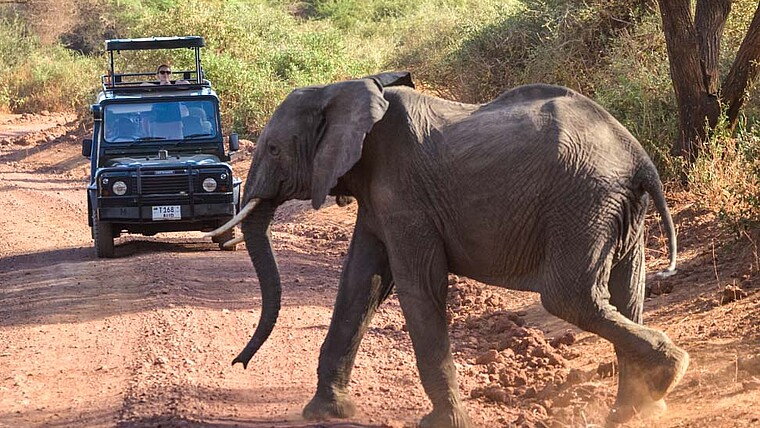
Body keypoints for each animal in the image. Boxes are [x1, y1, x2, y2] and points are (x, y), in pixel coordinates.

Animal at [209, 72, 688, 426]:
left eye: (274, 149)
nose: (237, 365)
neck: (342, 89)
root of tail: (639, 157)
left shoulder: (404, 194)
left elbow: (416, 285)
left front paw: (443, 423)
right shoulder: (379, 198)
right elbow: (360, 284)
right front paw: (324, 413)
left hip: (583, 201)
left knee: (568, 296)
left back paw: (670, 371)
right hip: (616, 208)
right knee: (627, 293)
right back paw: (635, 409)